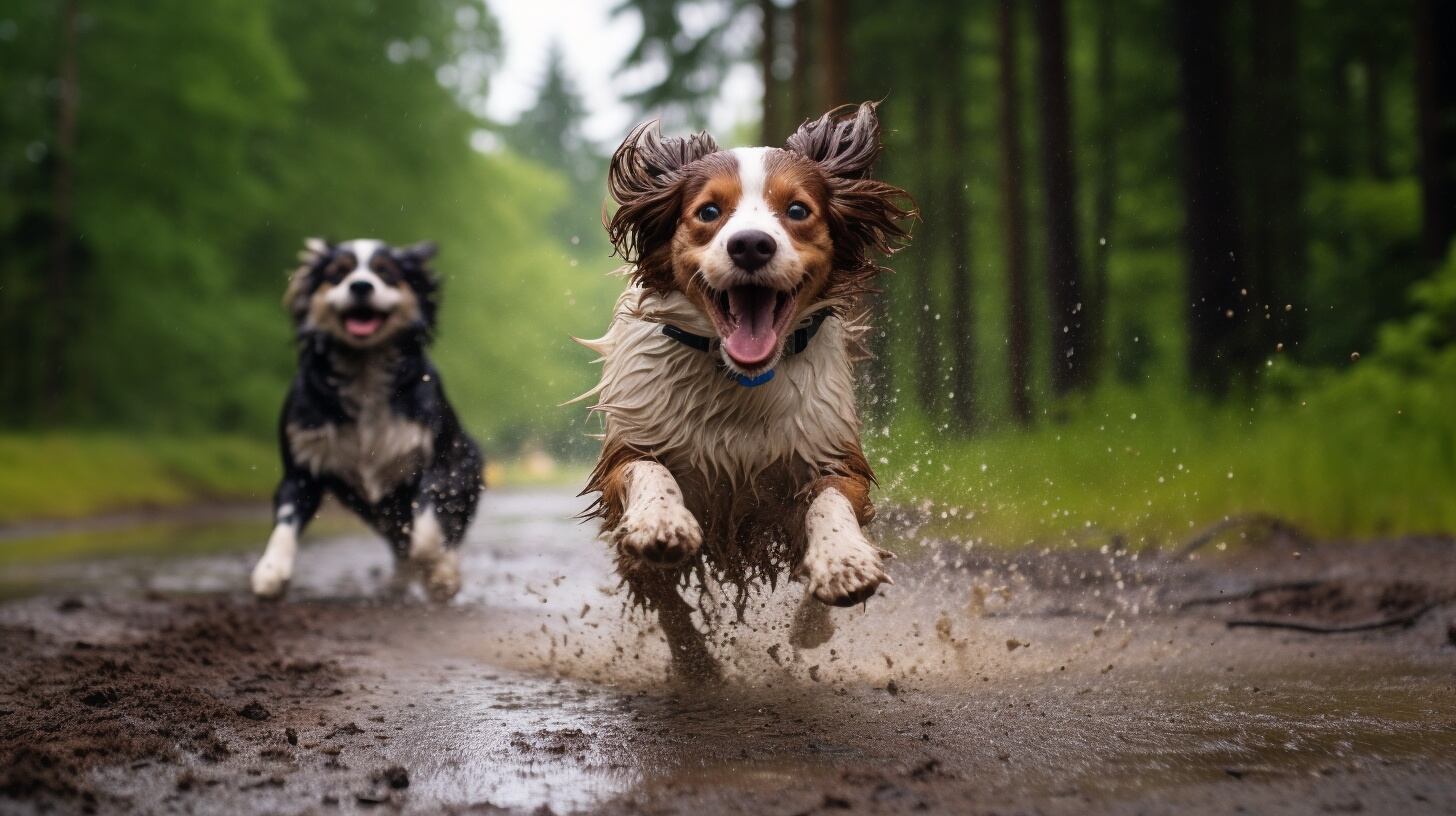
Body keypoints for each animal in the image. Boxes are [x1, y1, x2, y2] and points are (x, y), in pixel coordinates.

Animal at [247, 236, 480, 600]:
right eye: (337, 273)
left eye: (386, 273)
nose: (360, 286)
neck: (365, 369)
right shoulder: (300, 467)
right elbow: (285, 520)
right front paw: (270, 571)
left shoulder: (442, 462)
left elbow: (428, 533)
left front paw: (437, 570)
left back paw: (439, 574)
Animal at [576, 102, 908, 676]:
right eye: (709, 212)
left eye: (797, 210)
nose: (751, 244)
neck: (742, 381)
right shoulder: (628, 448)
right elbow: (649, 471)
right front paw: (662, 521)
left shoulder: (831, 454)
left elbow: (832, 503)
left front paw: (843, 562)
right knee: (662, 595)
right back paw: (697, 668)